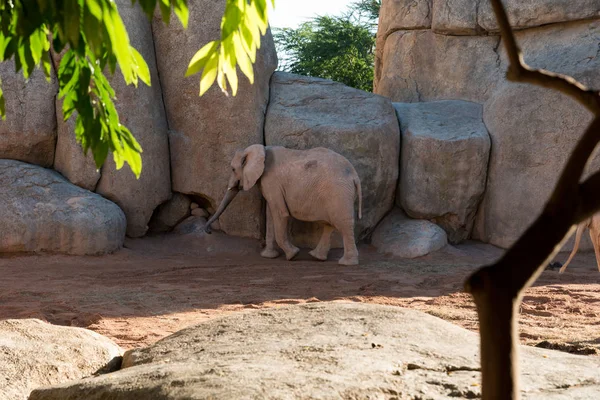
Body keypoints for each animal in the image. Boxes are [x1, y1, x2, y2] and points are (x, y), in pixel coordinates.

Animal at [204, 145, 364, 266]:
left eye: (232, 169)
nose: (209, 231)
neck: (261, 150)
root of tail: (355, 176)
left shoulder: (271, 181)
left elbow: (280, 214)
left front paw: (293, 255)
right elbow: (270, 216)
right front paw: (268, 256)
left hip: (339, 193)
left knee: (343, 224)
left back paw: (346, 263)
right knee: (329, 224)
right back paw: (317, 257)